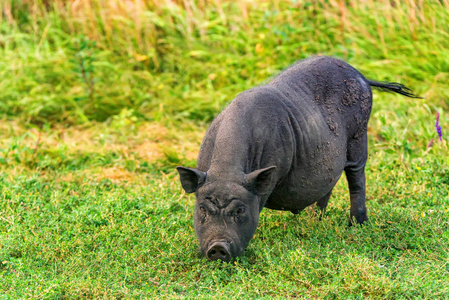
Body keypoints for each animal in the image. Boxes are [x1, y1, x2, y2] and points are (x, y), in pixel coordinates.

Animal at [176, 56, 416, 262]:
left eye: (240, 210)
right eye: (202, 209)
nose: (218, 247)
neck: (227, 170)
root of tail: (362, 76)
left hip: (359, 136)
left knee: (357, 179)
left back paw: (357, 225)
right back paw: (314, 220)